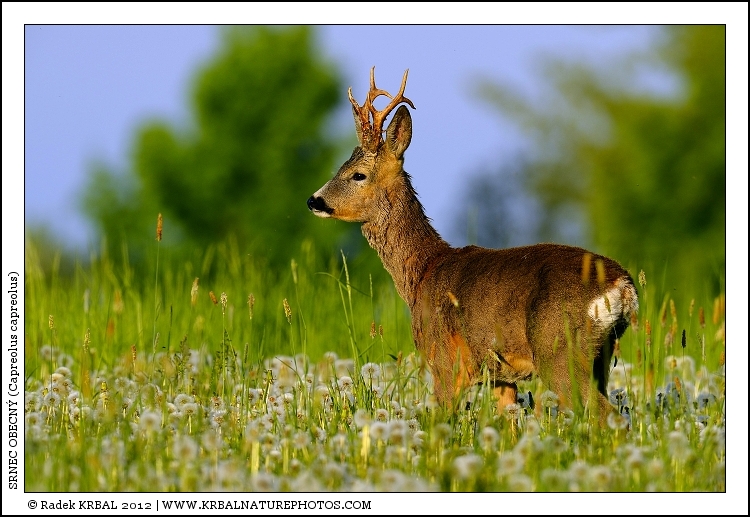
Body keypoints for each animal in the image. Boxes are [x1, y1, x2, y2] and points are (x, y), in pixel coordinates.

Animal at [307, 67, 639, 425]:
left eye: (357, 174)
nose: (314, 200)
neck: (423, 272)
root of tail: (624, 285)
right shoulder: (501, 375)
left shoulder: (445, 361)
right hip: (601, 355)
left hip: (559, 350)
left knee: (608, 416)